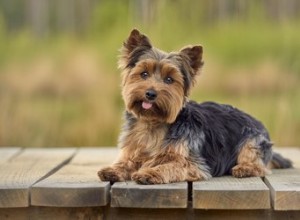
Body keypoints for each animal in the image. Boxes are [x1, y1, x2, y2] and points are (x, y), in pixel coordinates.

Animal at [97, 29, 292, 184]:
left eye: (169, 79)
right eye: (144, 74)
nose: (151, 93)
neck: (153, 123)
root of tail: (259, 122)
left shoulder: (194, 163)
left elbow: (170, 165)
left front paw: (150, 172)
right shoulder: (133, 149)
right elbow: (127, 161)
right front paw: (113, 169)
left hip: (252, 140)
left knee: (259, 164)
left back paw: (244, 168)